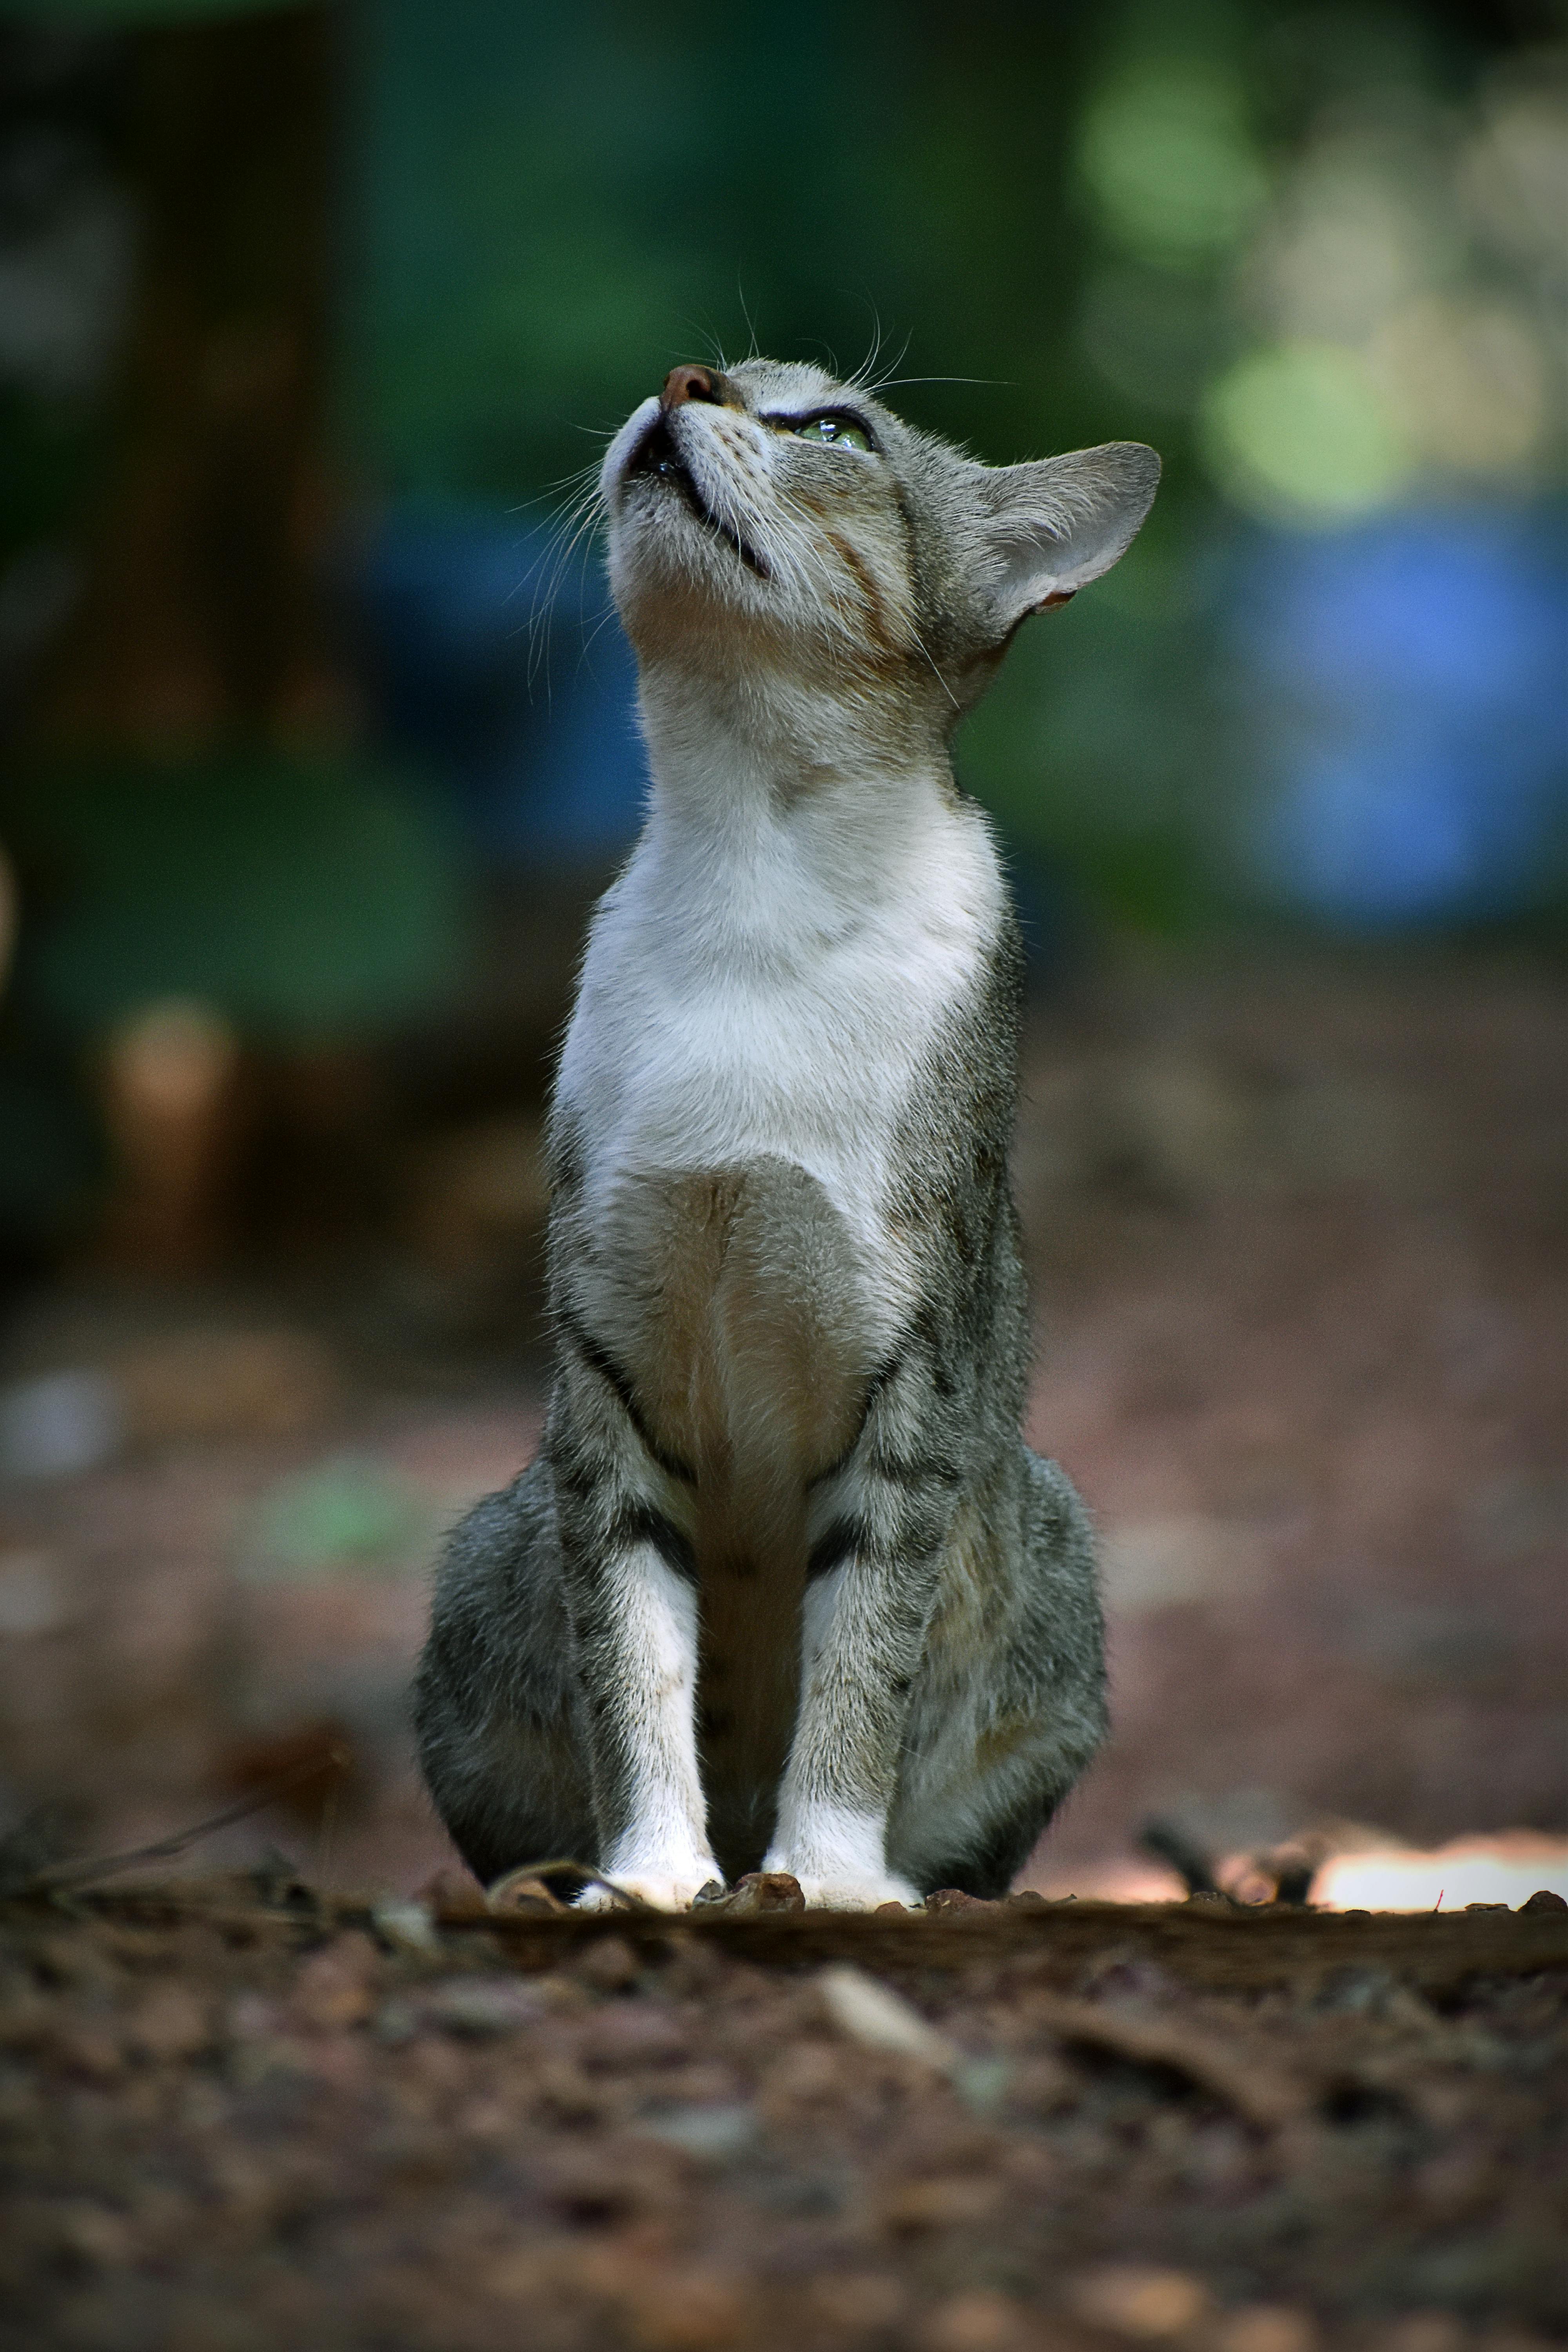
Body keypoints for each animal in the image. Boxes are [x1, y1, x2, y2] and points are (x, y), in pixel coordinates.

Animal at [411, 353, 1161, 1910]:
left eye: (833, 427)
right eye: (720, 375)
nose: (681, 376)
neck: (752, 867)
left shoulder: (915, 1378)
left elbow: (864, 1655)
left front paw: (825, 1869)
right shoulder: (602, 1357)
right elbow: (628, 1652)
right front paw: (647, 1872)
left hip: (1047, 1526)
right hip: (489, 1540)